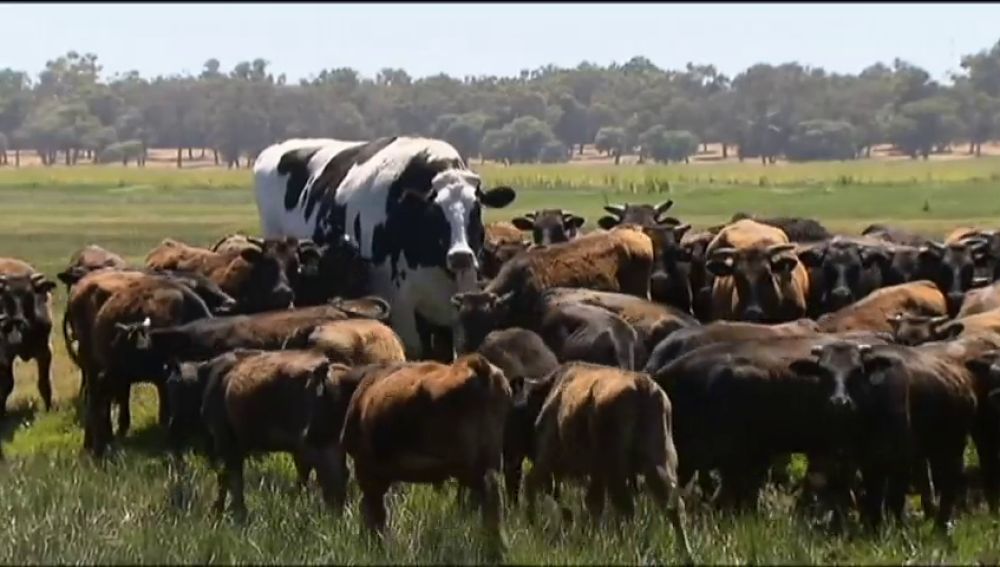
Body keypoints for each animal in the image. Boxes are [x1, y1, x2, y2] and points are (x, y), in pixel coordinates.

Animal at [340, 356, 512, 556]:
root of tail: (478, 366)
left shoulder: (368, 471)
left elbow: (373, 513)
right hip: (488, 459)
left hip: (470, 466)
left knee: (489, 493)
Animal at [512, 364, 692, 564]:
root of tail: (643, 386)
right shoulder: (595, 474)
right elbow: (594, 505)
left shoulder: (548, 459)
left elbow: (532, 484)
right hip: (659, 464)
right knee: (672, 507)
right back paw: (685, 556)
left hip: (616, 470)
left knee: (626, 507)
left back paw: (627, 550)